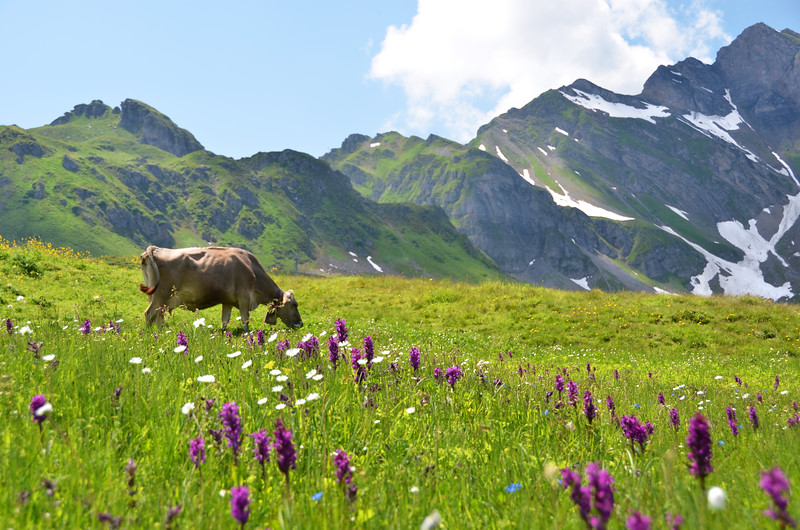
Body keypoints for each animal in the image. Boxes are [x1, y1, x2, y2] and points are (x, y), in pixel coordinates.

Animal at [138, 244, 304, 330]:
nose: (301, 324)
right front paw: (247, 336)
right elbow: (245, 320)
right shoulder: (244, 298)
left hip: (159, 297)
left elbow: (225, 321)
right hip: (161, 294)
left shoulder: (228, 301)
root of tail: (155, 248)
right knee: (149, 314)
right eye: (295, 304)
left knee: (158, 316)